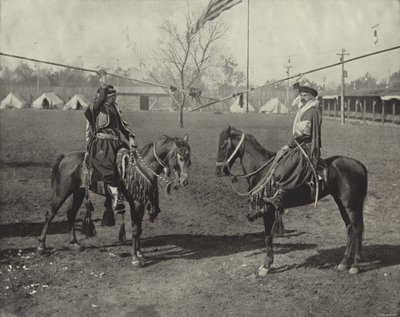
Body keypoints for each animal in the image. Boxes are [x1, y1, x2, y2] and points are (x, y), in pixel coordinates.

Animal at [38, 134, 191, 266]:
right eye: (181, 157)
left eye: (189, 157)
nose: (184, 181)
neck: (142, 169)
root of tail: (65, 156)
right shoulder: (135, 203)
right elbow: (135, 229)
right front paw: (135, 258)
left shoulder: (141, 203)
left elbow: (139, 228)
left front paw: (140, 253)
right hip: (61, 193)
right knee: (50, 214)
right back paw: (41, 247)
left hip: (78, 192)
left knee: (71, 213)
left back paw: (74, 243)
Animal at [216, 126, 368, 274]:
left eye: (223, 146)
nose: (218, 170)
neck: (262, 169)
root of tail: (359, 164)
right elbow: (268, 236)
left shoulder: (268, 210)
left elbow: (268, 236)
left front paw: (266, 266)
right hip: (341, 203)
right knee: (349, 227)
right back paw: (344, 262)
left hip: (351, 204)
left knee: (357, 228)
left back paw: (355, 265)